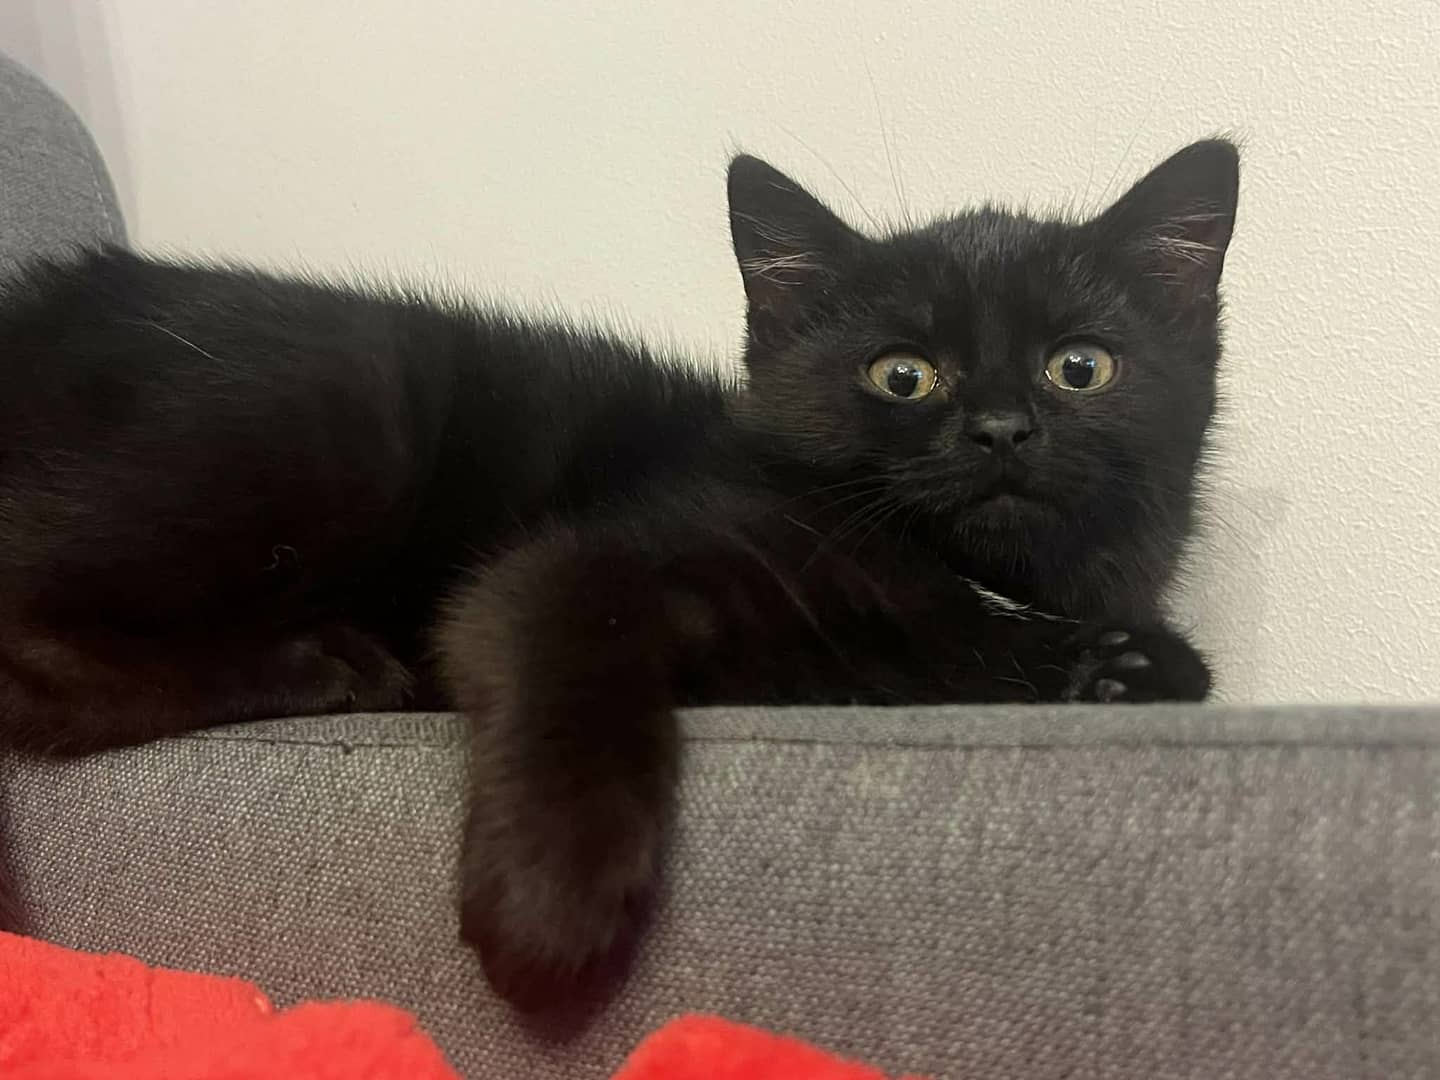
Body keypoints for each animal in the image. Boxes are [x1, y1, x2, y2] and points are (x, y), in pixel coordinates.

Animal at [0, 137, 1237, 1011]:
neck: (959, 577)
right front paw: (552, 913)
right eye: (902, 374)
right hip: (346, 401)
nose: (1000, 431)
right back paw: (326, 663)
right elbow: (571, 667)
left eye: (1080, 367)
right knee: (28, 654)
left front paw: (1118, 666)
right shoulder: (574, 564)